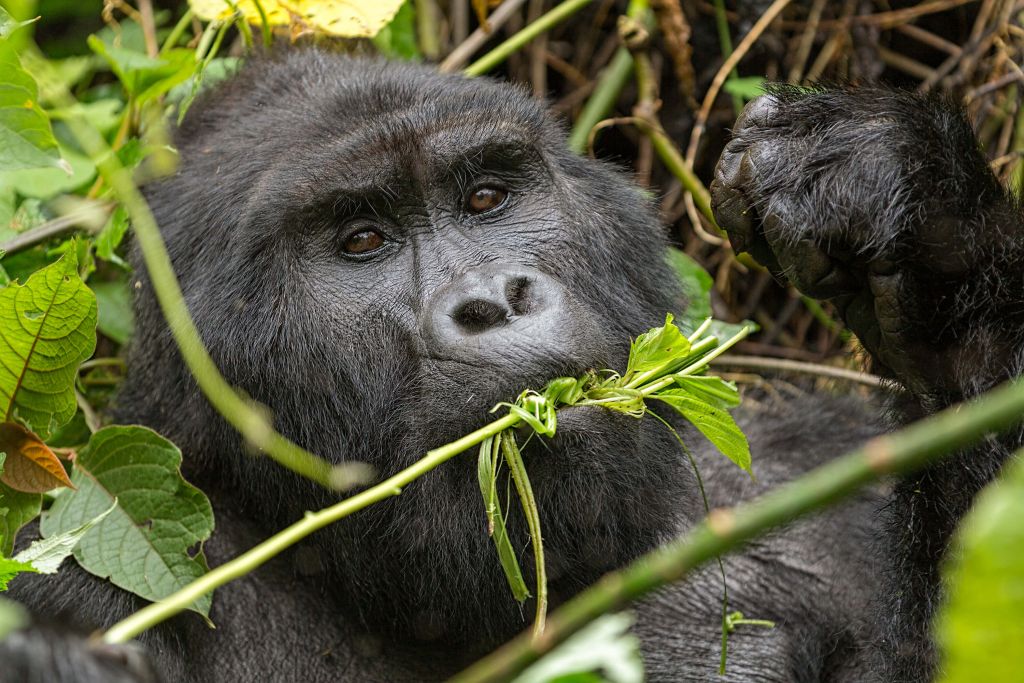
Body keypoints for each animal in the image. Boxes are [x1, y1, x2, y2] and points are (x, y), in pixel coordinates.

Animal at [2, 49, 1024, 683]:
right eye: (362, 240)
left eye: (487, 197)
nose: (494, 299)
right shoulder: (82, 581)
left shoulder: (815, 474)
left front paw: (929, 246)